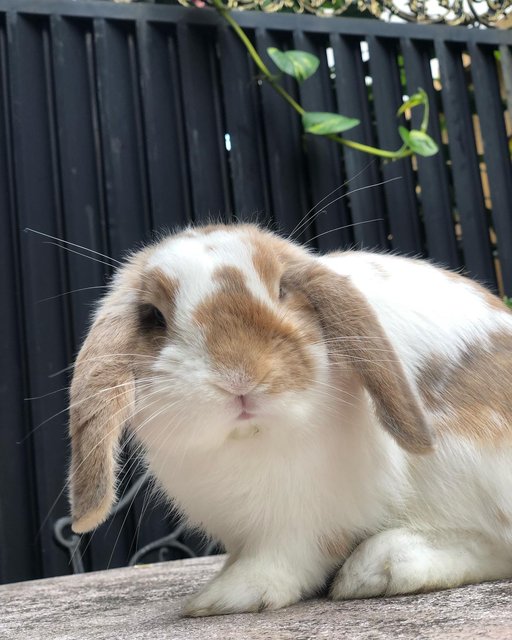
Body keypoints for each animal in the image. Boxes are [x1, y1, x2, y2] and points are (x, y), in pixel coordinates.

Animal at [67, 224, 512, 616]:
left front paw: (226, 596)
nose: (240, 375)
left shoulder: (304, 519)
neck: (249, 439)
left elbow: (283, 557)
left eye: (282, 290)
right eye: (154, 316)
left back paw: (380, 568)